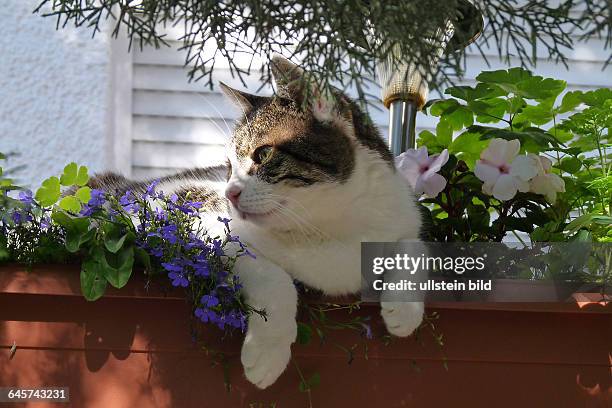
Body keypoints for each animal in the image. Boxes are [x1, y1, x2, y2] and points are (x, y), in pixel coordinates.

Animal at [92, 56, 426, 388]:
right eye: (228, 167)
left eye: (263, 154)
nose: (229, 193)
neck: (329, 226)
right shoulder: (206, 230)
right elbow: (273, 277)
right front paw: (267, 353)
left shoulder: (401, 216)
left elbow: (416, 246)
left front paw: (405, 309)